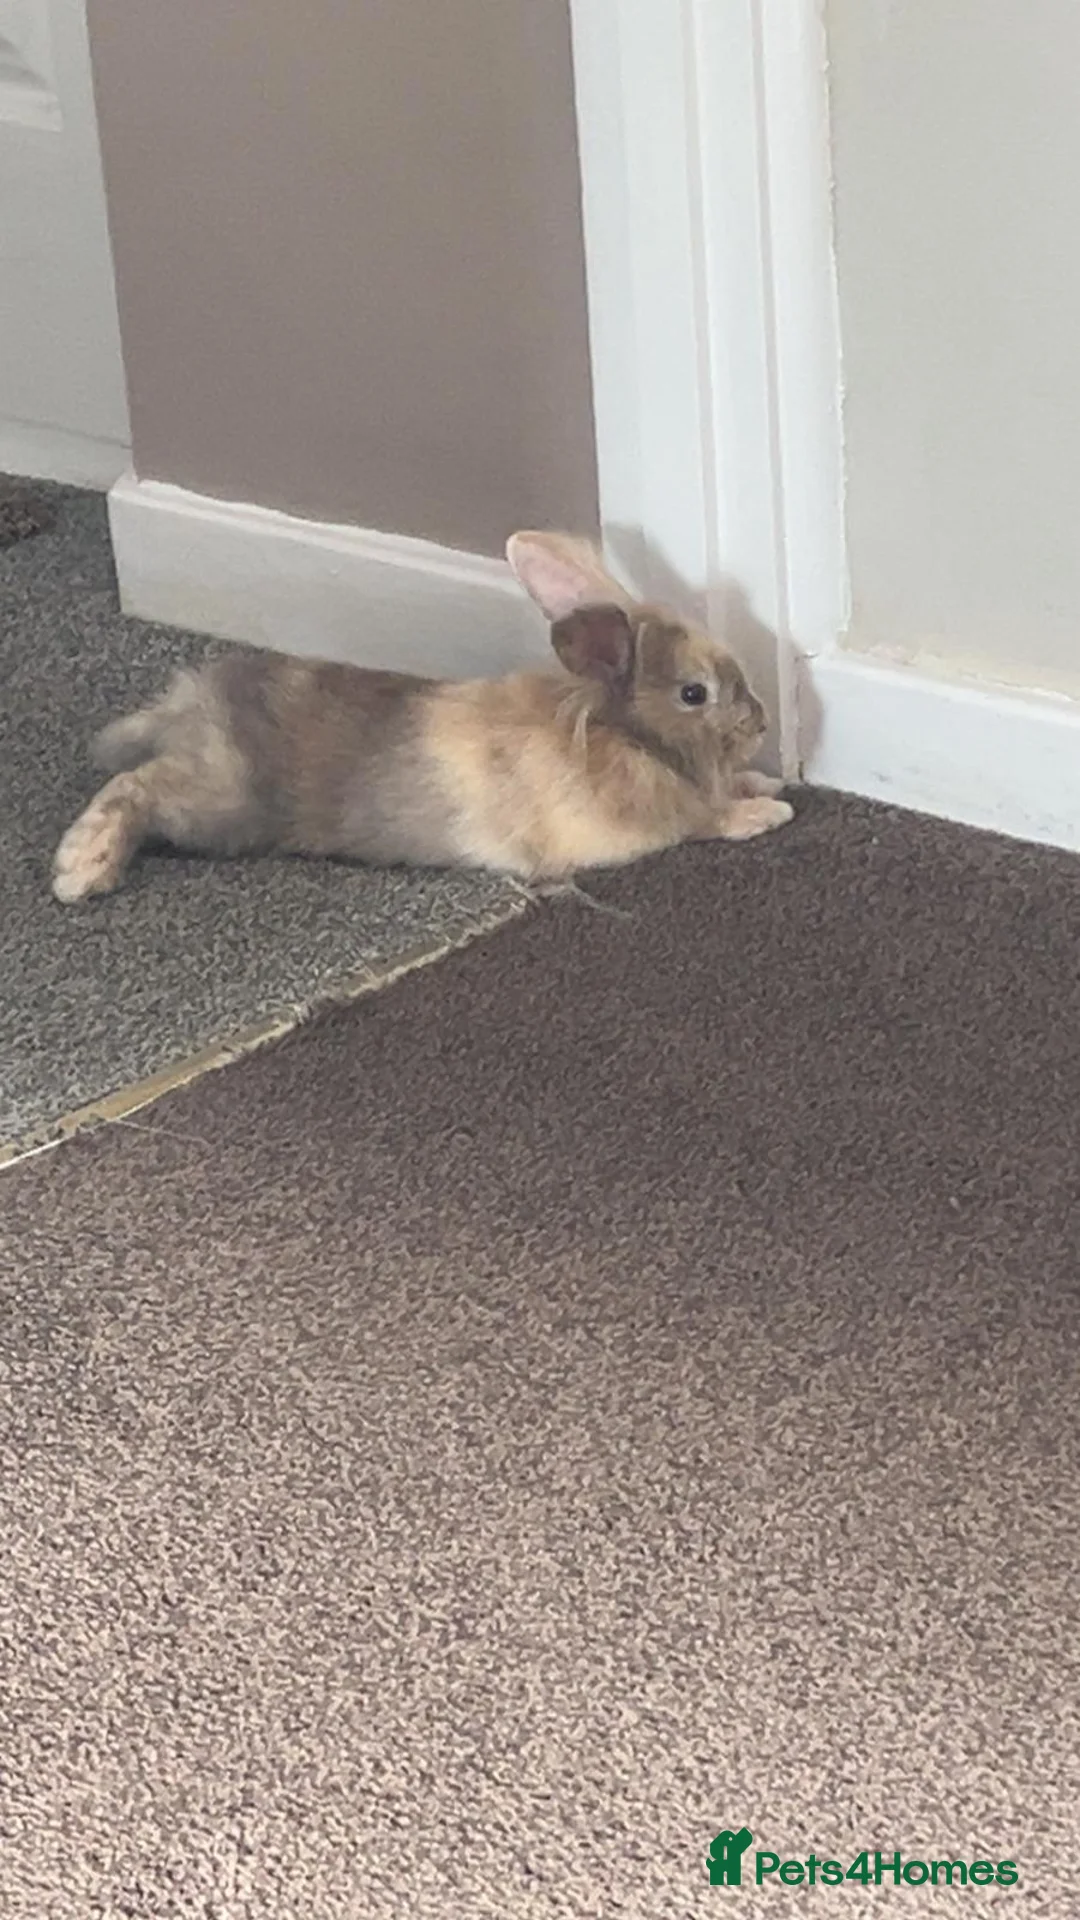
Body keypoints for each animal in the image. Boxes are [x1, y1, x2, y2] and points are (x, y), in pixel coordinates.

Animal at [51, 529, 792, 903]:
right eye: (694, 694)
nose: (760, 724)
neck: (622, 734)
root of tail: (191, 703)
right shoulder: (649, 824)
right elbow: (706, 821)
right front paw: (768, 813)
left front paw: (767, 784)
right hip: (219, 805)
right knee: (134, 787)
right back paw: (80, 870)